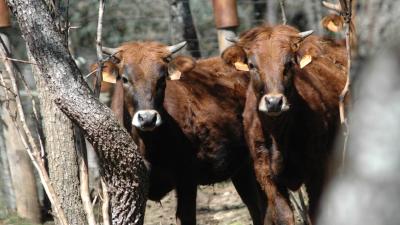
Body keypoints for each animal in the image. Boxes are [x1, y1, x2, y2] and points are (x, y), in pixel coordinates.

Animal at [101, 41, 268, 225]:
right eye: (124, 79)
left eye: (162, 79)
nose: (147, 118)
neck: (149, 144)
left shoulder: (187, 178)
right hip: (241, 169)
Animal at [222, 23, 346, 224]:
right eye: (252, 65)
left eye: (289, 64)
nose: (274, 102)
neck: (278, 135)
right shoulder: (265, 174)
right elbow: (283, 215)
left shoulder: (318, 168)